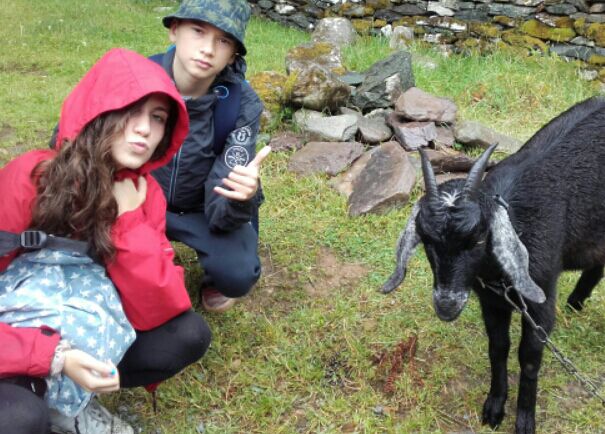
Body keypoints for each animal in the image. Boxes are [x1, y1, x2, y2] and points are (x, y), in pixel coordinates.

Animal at [381, 96, 605, 434]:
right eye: (427, 241)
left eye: (477, 240)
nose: (446, 305)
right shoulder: (490, 300)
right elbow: (498, 348)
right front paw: (494, 407)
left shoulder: (540, 301)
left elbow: (529, 357)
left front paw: (524, 420)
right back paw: (576, 301)